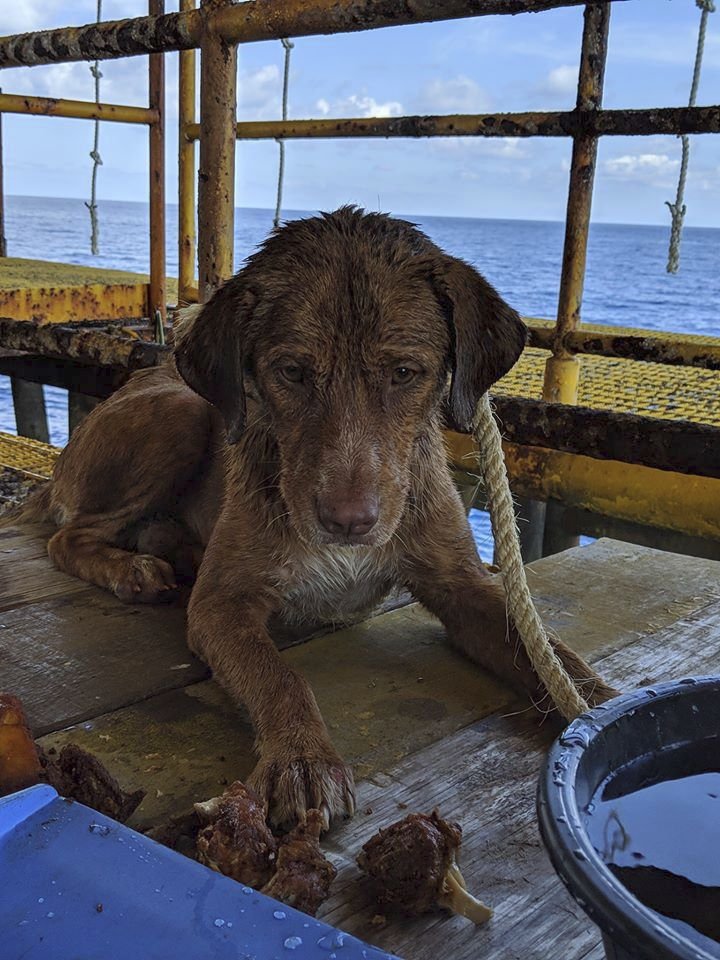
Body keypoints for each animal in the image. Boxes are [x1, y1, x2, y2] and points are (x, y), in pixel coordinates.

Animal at [23, 210, 620, 832]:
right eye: (291, 371)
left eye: (405, 372)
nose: (347, 522)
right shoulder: (221, 605)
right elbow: (279, 674)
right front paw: (301, 757)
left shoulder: (463, 585)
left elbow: (545, 649)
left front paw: (600, 702)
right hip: (178, 413)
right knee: (68, 536)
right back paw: (131, 570)